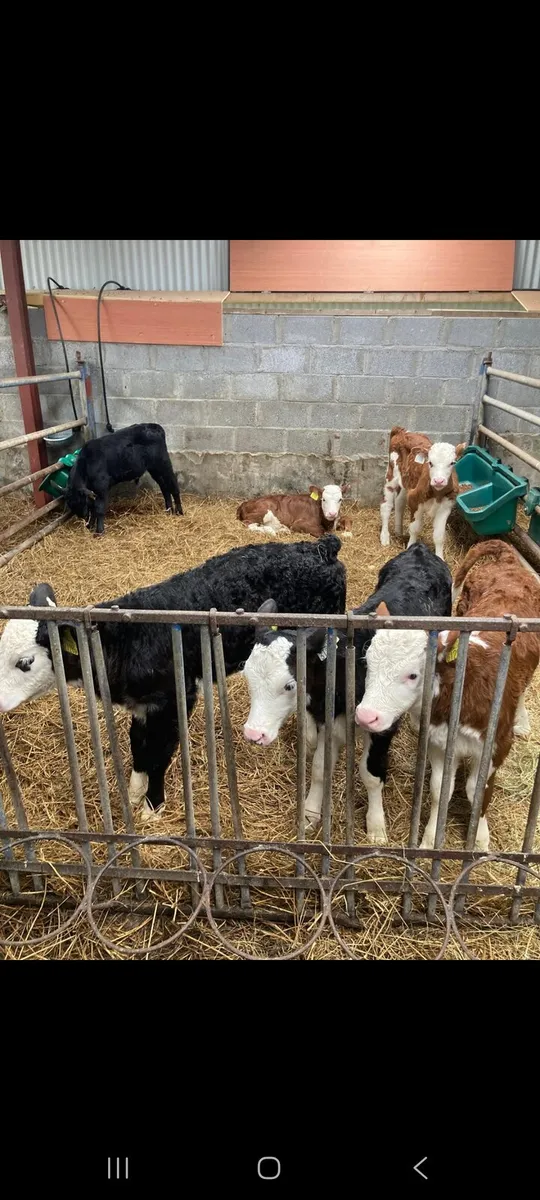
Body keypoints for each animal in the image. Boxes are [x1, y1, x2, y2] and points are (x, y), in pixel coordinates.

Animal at [0, 537, 346, 819]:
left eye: (25, 661)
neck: (126, 640)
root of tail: (320, 547)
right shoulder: (142, 706)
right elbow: (139, 745)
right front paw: (135, 791)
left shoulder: (173, 700)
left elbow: (160, 752)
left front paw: (152, 807)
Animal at [242, 543, 451, 841]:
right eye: (247, 676)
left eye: (289, 685)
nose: (253, 734)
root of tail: (420, 550)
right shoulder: (328, 720)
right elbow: (320, 767)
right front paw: (310, 813)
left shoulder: (382, 725)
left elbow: (371, 774)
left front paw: (376, 827)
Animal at [355, 539, 540, 851]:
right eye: (368, 661)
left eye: (413, 674)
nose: (366, 715)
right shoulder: (440, 743)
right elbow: (441, 789)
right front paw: (430, 839)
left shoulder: (497, 746)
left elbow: (478, 791)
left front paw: (480, 840)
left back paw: (523, 721)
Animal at [380, 425, 466, 560]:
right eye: (430, 462)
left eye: (452, 463)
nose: (439, 480)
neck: (437, 494)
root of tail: (402, 431)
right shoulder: (415, 501)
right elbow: (415, 528)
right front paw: (410, 547)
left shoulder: (446, 507)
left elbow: (439, 536)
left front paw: (440, 558)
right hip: (391, 474)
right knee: (386, 506)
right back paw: (384, 537)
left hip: (406, 482)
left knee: (399, 502)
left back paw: (398, 531)